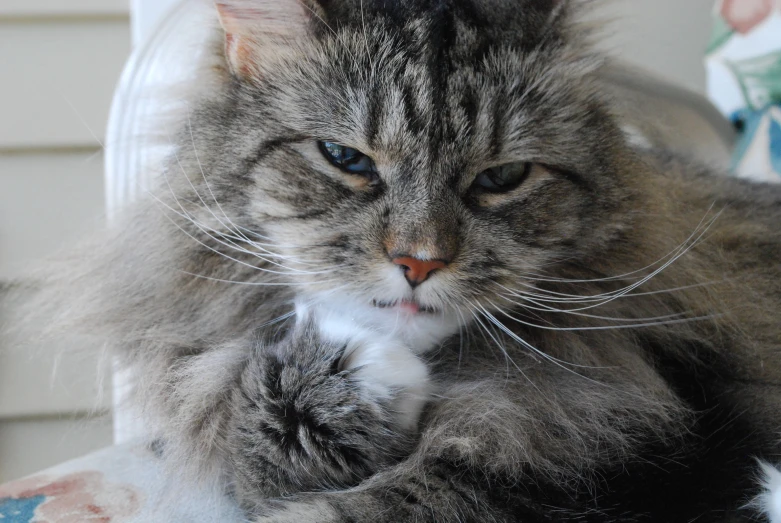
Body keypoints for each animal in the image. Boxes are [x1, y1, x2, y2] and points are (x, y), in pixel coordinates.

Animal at [6, 0, 780, 520]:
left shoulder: (638, 460)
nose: (419, 262)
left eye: (502, 178)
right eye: (345, 159)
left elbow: (386, 502)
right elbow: (259, 447)